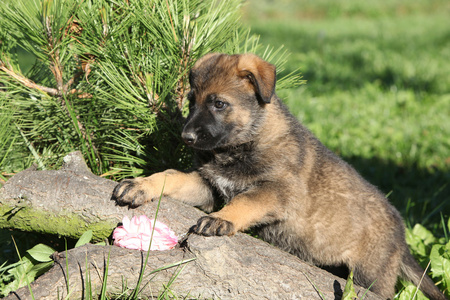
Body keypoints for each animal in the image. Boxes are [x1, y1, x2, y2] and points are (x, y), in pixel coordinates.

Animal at [112, 53, 446, 300]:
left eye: (219, 103)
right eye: (192, 101)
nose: (187, 138)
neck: (245, 143)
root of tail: (401, 234)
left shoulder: (278, 192)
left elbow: (246, 200)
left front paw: (223, 219)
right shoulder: (209, 187)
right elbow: (172, 175)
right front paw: (141, 185)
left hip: (369, 276)